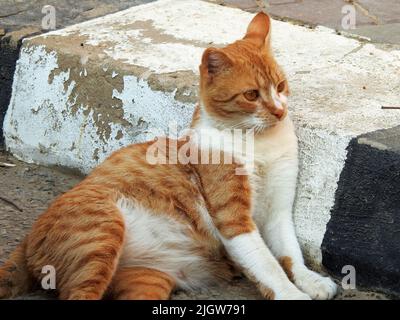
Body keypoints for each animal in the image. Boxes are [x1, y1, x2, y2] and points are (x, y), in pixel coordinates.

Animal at [0, 11, 338, 298]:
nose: (280, 111)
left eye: (280, 85)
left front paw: (311, 281)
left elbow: (290, 254)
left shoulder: (279, 211)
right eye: (252, 95)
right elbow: (267, 264)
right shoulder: (234, 220)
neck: (260, 143)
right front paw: (292, 294)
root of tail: (28, 238)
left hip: (148, 279)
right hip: (101, 232)